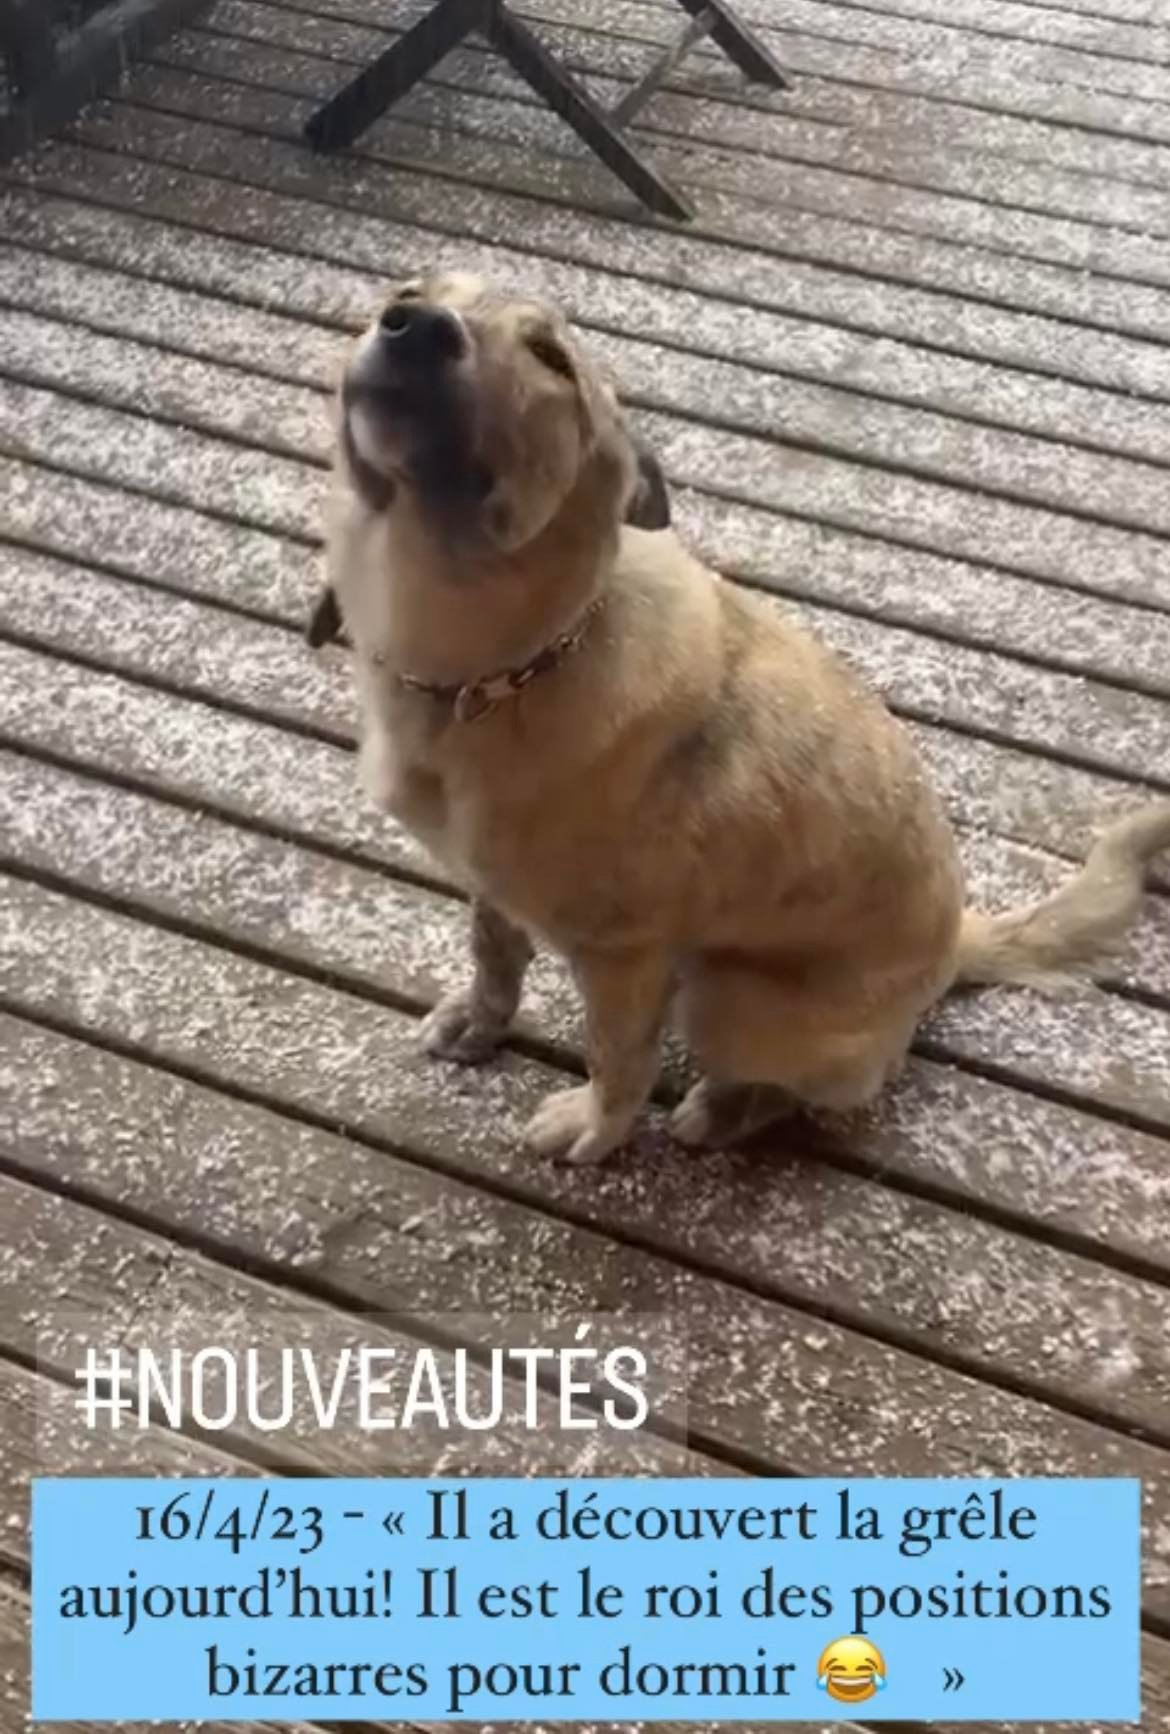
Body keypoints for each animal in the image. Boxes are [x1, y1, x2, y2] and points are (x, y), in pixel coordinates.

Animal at [323, 271, 1170, 1166]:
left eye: (551, 358)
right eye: (408, 289)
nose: (413, 326)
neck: (501, 669)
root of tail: (952, 947)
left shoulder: (628, 958)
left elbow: (616, 1061)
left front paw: (594, 1129)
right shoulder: (490, 888)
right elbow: (494, 957)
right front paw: (480, 1023)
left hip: (719, 997)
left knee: (820, 1089)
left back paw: (723, 1109)